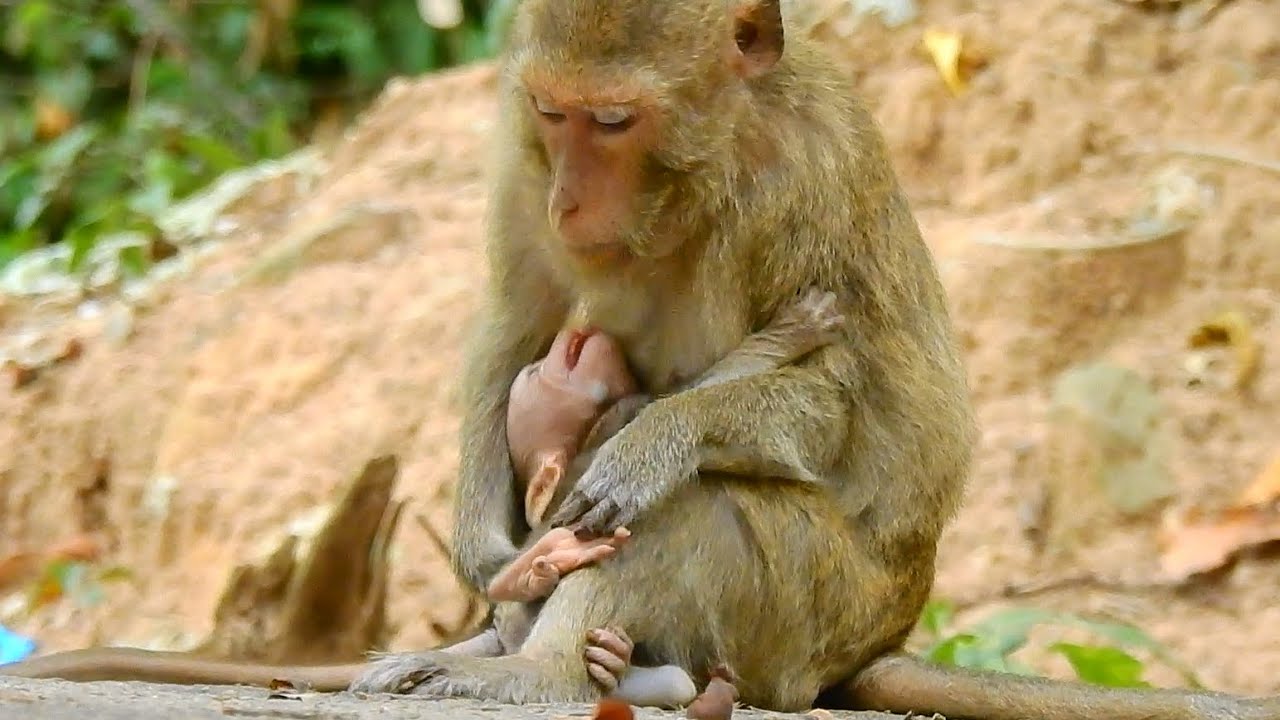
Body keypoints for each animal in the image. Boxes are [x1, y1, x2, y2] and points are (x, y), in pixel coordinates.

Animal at [344, 1, 1280, 718]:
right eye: (553, 113)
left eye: (613, 121)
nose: (567, 199)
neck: (703, 166)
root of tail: (880, 639)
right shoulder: (517, 143)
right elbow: (515, 319)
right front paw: (480, 544)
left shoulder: (802, 183)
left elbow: (828, 404)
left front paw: (654, 441)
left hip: (810, 613)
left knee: (700, 502)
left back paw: (543, 669)